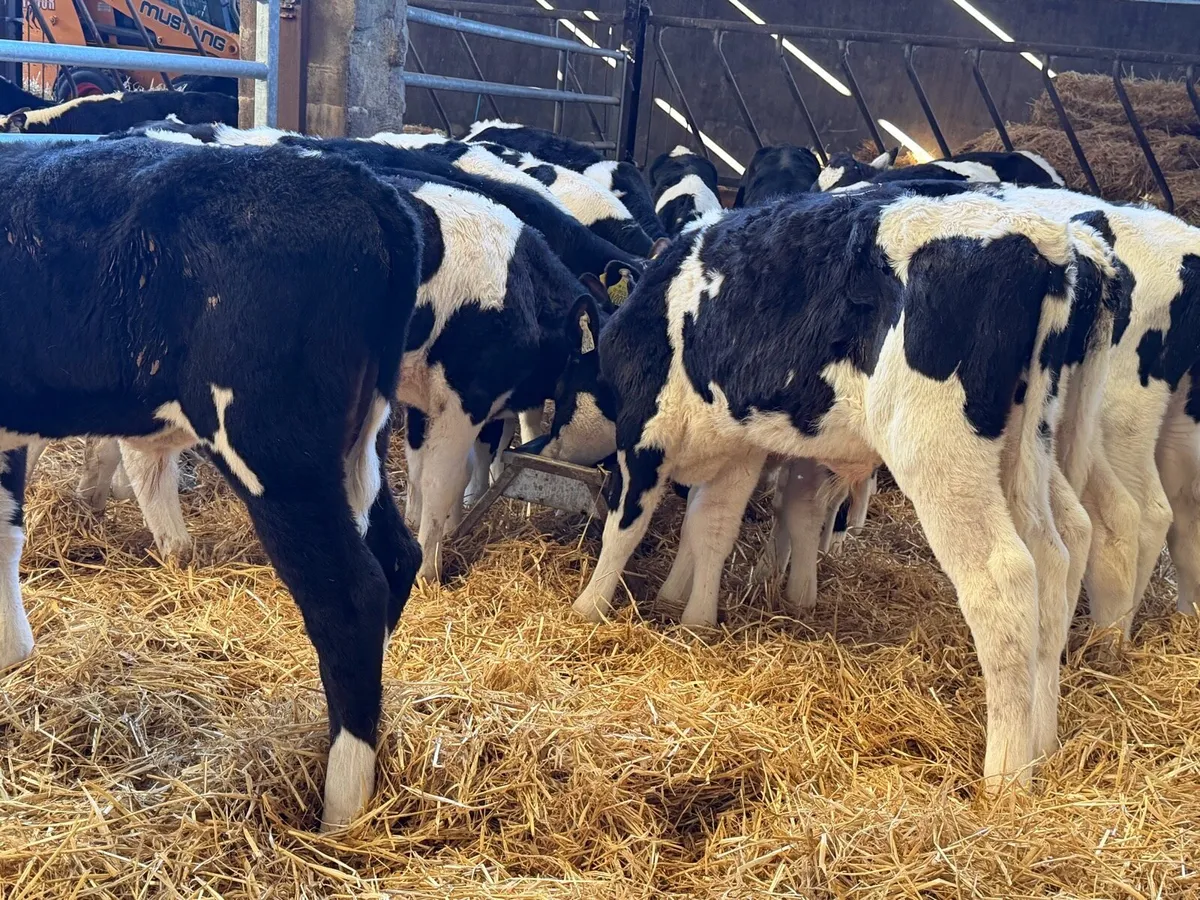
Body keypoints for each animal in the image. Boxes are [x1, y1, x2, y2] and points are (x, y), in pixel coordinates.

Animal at [0, 138, 424, 832]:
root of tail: (365, 188)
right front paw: (14, 656)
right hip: (361, 440)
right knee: (395, 557)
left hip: (273, 450)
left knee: (348, 597)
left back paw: (339, 813)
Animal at [533, 185, 1111, 789]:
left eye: (563, 387)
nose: (546, 447)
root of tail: (1050, 242)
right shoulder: (739, 447)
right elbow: (710, 527)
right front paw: (691, 615)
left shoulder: (644, 435)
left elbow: (626, 525)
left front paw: (588, 607)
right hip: (1029, 446)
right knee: (1062, 547)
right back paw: (1043, 743)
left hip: (940, 451)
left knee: (1006, 577)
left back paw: (1006, 776)